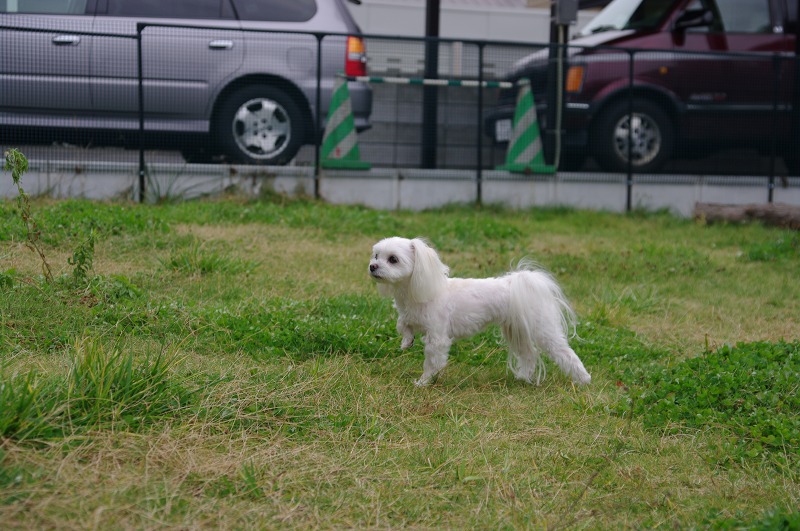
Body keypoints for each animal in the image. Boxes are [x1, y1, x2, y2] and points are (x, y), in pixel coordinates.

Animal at [369, 237, 591, 387]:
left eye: (393, 259)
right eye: (376, 255)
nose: (372, 266)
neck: (416, 293)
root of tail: (517, 282)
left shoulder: (437, 336)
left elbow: (432, 361)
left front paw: (424, 381)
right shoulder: (408, 317)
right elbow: (403, 325)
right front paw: (407, 341)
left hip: (542, 328)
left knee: (565, 353)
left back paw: (583, 379)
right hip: (516, 329)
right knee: (528, 354)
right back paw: (523, 377)